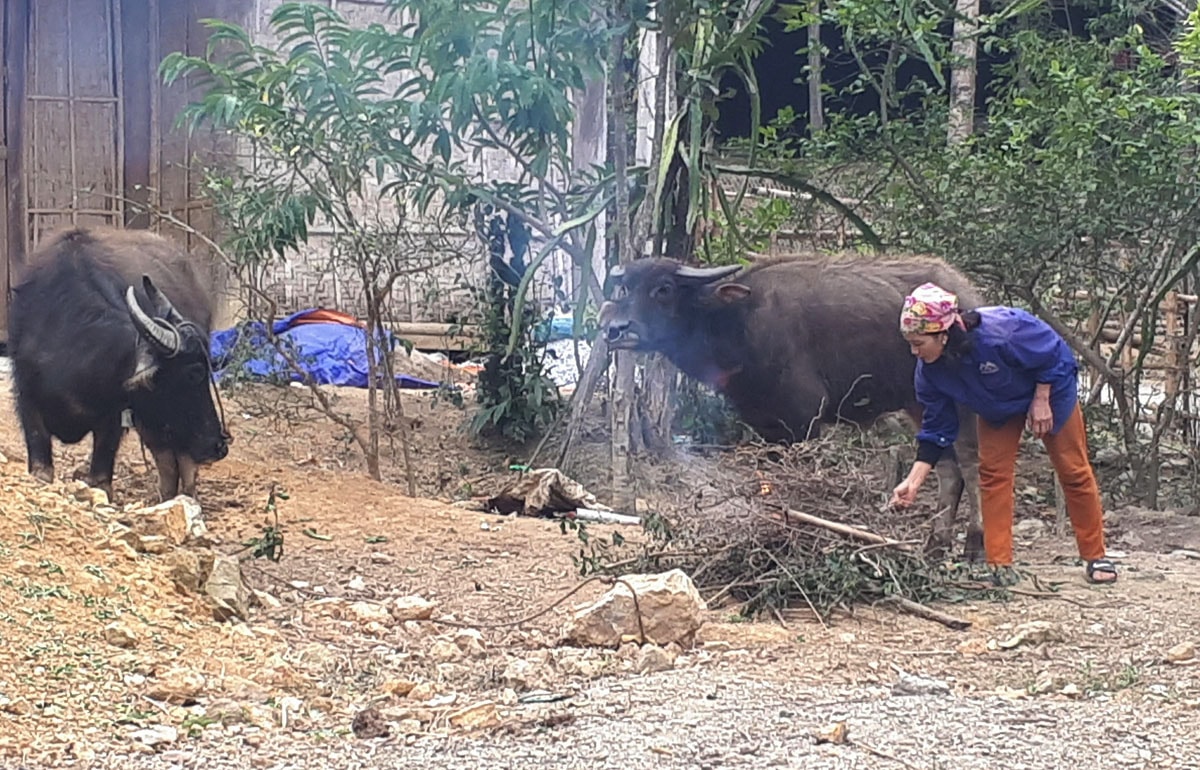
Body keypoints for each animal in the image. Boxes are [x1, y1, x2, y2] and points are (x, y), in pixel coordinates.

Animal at [8, 226, 230, 503]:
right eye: (194, 373)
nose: (219, 445)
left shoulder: (113, 418)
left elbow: (101, 479)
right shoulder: (27, 401)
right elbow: (41, 469)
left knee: (181, 462)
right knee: (168, 462)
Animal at [600, 251, 984, 556]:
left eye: (663, 289)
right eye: (626, 288)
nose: (615, 329)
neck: (738, 323)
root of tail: (966, 294)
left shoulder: (804, 419)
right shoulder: (766, 423)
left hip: (963, 404)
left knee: (971, 465)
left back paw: (974, 545)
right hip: (920, 404)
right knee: (948, 468)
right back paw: (936, 544)